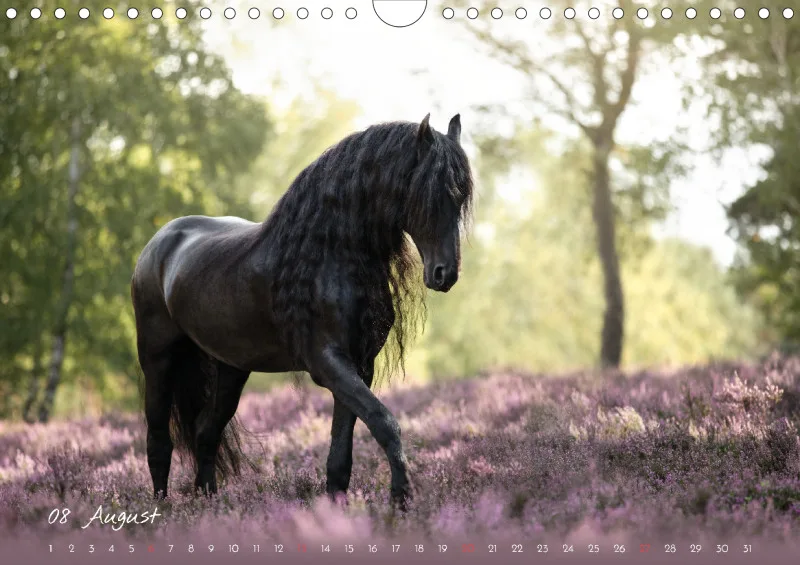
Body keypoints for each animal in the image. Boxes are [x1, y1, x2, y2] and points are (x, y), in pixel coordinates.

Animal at [131, 113, 474, 511]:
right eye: (429, 192)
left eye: (460, 197)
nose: (444, 274)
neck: (329, 255)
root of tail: (158, 244)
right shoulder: (327, 363)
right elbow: (383, 421)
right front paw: (402, 498)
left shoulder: (359, 366)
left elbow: (341, 452)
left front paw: (339, 508)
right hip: (158, 361)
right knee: (159, 441)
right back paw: (161, 511)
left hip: (231, 368)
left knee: (205, 433)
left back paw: (211, 507)